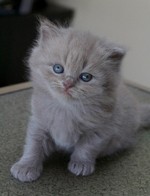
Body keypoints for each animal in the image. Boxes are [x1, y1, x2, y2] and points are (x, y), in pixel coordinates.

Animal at [10, 18, 150, 182]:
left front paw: (81, 164)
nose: (67, 84)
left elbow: (86, 148)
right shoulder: (39, 123)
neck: (65, 109)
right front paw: (26, 166)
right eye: (58, 68)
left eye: (86, 77)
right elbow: (33, 145)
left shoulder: (101, 130)